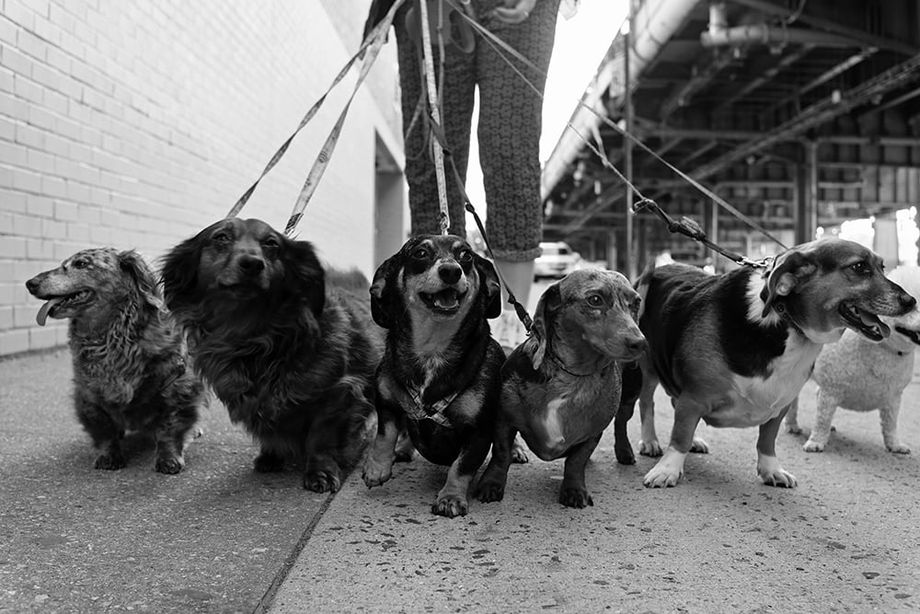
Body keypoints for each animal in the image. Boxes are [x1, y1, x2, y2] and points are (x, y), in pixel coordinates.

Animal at [25, 248, 203, 474]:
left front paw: (169, 458)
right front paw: (108, 455)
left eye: (81, 264)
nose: (30, 283)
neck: (111, 339)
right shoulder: (88, 395)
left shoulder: (178, 387)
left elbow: (170, 428)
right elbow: (103, 430)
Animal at [362, 236, 504, 520]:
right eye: (420, 253)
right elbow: (384, 435)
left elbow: (461, 466)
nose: (451, 271)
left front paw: (450, 498)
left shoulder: (479, 431)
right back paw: (404, 448)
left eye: (466, 255)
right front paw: (376, 469)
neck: (432, 350)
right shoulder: (386, 403)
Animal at [784, 264, 920, 452]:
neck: (883, 346)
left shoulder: (893, 399)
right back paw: (792, 426)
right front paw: (816, 441)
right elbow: (822, 420)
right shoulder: (831, 390)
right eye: (913, 306)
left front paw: (895, 445)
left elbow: (891, 425)